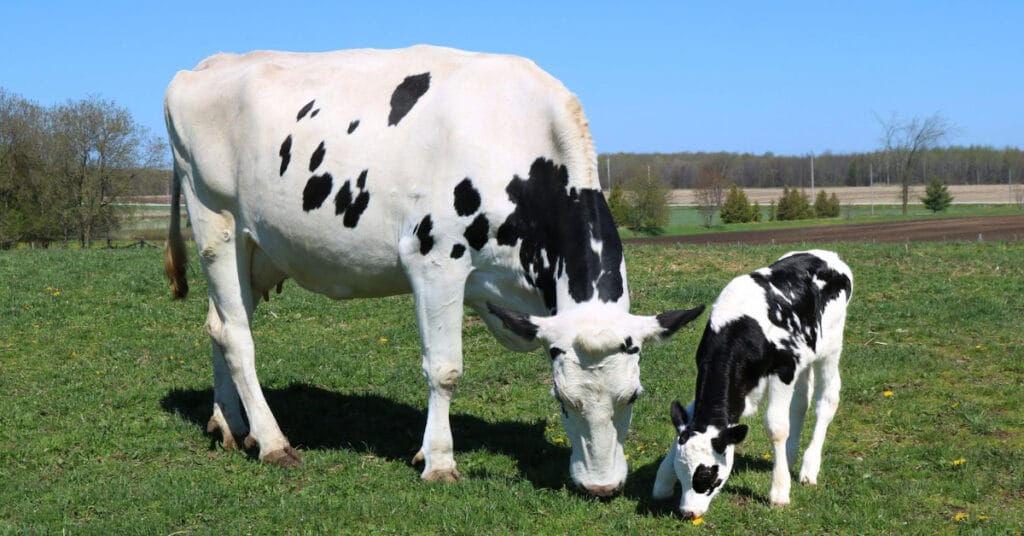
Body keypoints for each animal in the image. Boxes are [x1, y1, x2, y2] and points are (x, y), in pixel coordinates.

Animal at [163, 46, 704, 500]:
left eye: (633, 396)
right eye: (562, 398)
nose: (601, 487)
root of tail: (206, 64)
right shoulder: (435, 261)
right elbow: (445, 370)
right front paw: (440, 461)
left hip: (257, 249)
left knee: (218, 325)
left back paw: (228, 424)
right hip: (216, 223)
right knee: (238, 337)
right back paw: (272, 441)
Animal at [651, 252, 851, 520]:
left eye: (709, 475)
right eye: (681, 473)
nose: (689, 512)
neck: (740, 327)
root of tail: (828, 256)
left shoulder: (784, 369)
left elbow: (776, 426)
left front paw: (779, 492)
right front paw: (662, 481)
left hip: (830, 348)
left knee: (826, 401)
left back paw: (809, 468)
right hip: (806, 355)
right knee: (801, 402)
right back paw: (789, 457)